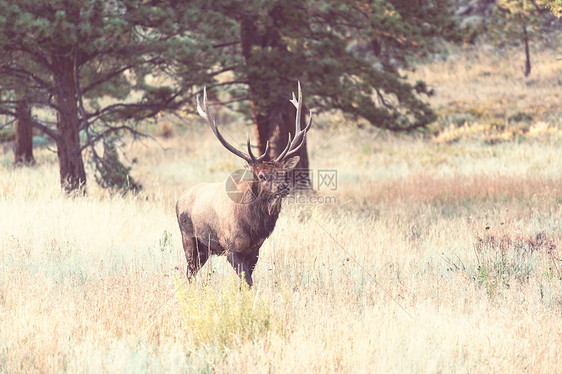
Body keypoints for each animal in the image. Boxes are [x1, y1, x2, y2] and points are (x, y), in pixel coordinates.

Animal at [176, 82, 310, 286]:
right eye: (261, 175)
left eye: (283, 173)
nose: (284, 187)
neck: (254, 228)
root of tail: (178, 199)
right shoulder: (231, 247)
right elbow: (247, 281)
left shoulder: (255, 251)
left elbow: (246, 283)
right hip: (189, 239)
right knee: (189, 274)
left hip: (205, 249)